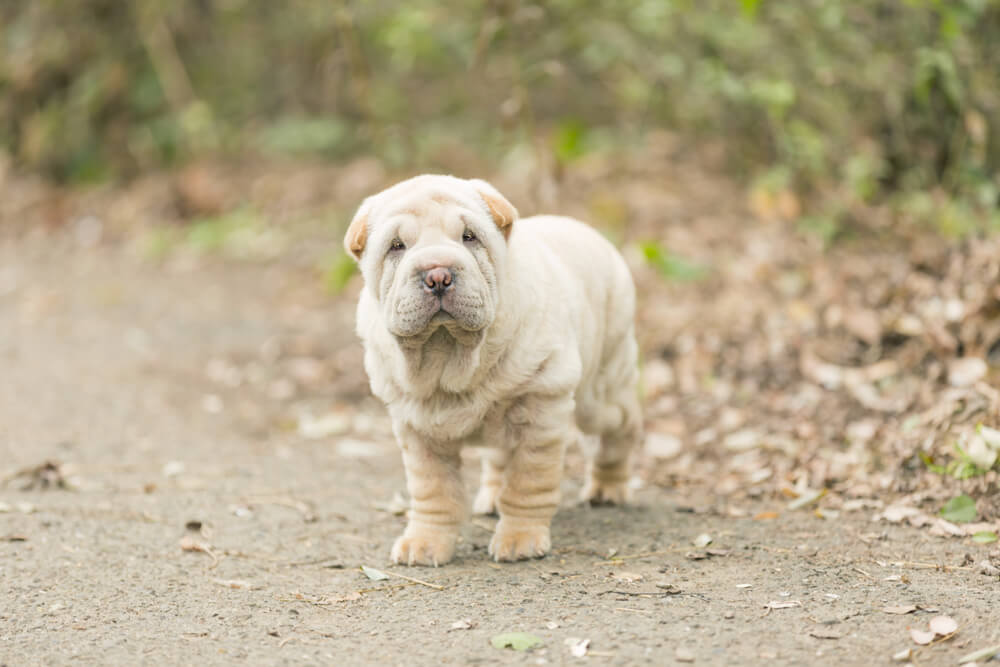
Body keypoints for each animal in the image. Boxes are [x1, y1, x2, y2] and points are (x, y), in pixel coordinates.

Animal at [344, 175, 640, 568]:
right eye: (396, 246)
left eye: (469, 237)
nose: (438, 275)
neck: (448, 354)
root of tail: (586, 230)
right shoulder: (414, 427)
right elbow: (432, 491)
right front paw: (424, 542)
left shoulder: (541, 409)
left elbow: (528, 481)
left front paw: (520, 539)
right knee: (499, 456)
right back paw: (492, 498)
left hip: (601, 394)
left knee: (619, 430)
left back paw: (609, 487)